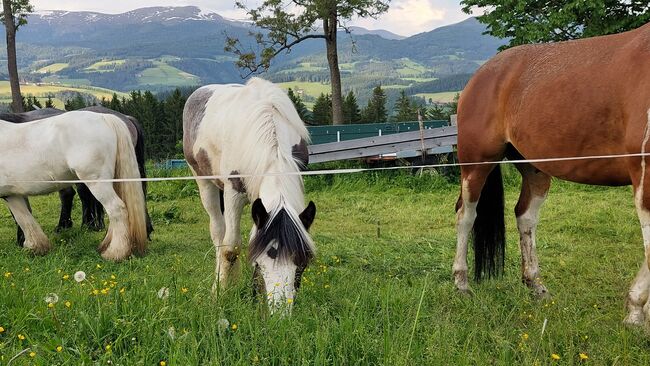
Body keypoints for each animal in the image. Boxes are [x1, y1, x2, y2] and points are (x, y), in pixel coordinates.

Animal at [0, 111, 146, 260]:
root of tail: (104, 117)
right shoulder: (12, 194)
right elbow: (23, 217)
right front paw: (35, 246)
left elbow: (22, 218)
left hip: (97, 182)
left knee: (117, 209)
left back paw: (116, 252)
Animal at [181, 78, 316, 312]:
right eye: (259, 264)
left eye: (301, 263)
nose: (280, 314)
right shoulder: (233, 192)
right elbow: (231, 248)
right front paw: (220, 294)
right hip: (203, 181)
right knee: (219, 234)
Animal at [450, 22, 648, 326]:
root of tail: (481, 76)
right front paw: (636, 313)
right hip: (477, 164)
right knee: (466, 215)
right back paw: (462, 284)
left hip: (535, 169)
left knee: (525, 217)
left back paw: (536, 286)